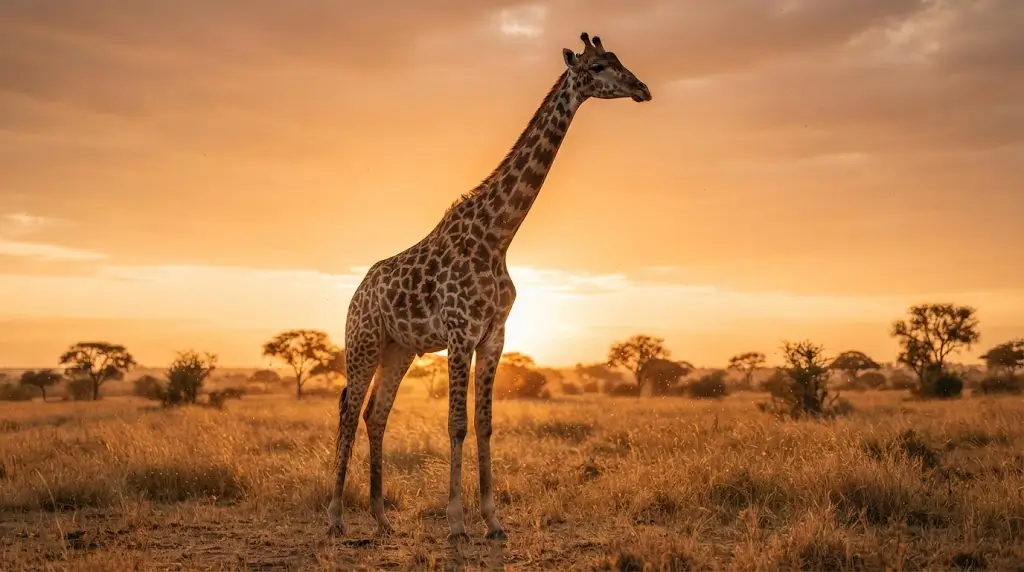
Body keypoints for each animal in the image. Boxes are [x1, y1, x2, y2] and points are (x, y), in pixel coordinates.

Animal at [327, 32, 652, 541]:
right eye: (598, 66)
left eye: (619, 59)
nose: (642, 88)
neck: (498, 236)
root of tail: (357, 292)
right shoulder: (461, 333)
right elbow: (457, 423)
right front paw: (457, 522)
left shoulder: (495, 335)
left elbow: (485, 423)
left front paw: (492, 519)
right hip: (363, 340)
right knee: (347, 408)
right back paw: (336, 516)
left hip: (399, 348)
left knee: (375, 414)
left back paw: (381, 518)